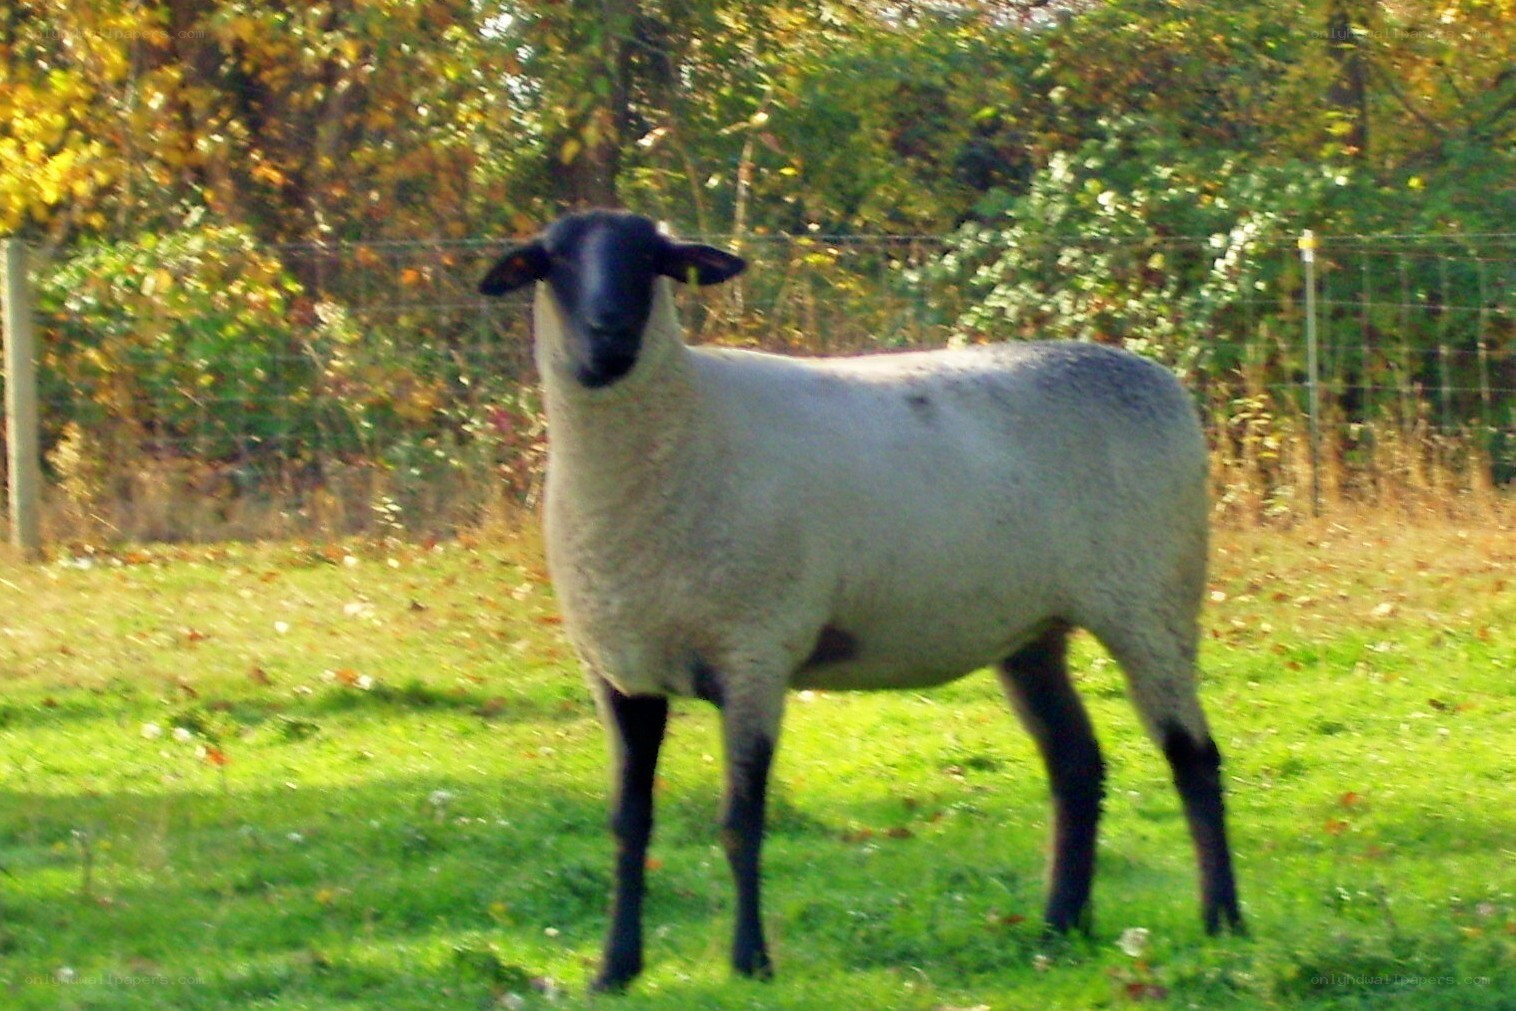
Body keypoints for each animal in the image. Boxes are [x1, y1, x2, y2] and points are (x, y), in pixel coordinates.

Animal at [478, 208, 1244, 992]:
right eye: (555, 261)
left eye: (652, 259)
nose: (609, 330)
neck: (683, 423)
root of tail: (1160, 379)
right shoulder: (619, 669)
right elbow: (630, 824)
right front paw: (615, 968)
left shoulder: (755, 650)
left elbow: (741, 822)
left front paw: (750, 961)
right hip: (1034, 629)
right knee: (1077, 764)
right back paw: (1059, 928)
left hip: (1152, 598)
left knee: (1193, 756)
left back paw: (1222, 922)